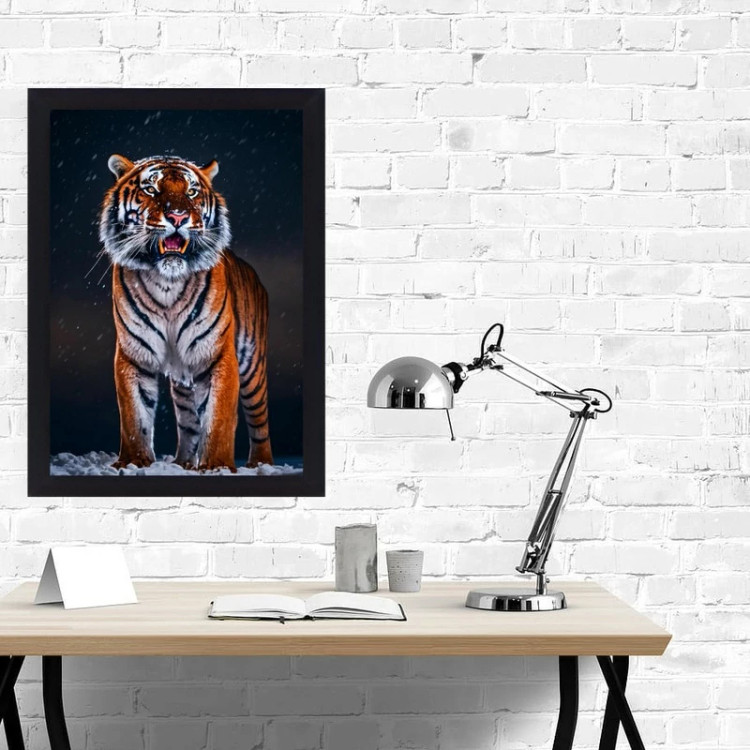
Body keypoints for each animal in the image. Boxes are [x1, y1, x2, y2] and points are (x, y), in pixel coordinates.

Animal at [98, 153, 273, 472]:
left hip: (253, 368)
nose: (178, 218)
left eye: (191, 192)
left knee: (259, 421)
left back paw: (260, 464)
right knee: (189, 422)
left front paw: (217, 466)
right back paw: (183, 464)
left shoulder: (218, 354)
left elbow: (219, 418)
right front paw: (133, 462)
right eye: (151, 189)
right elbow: (134, 415)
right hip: (182, 382)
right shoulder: (133, 354)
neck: (167, 283)